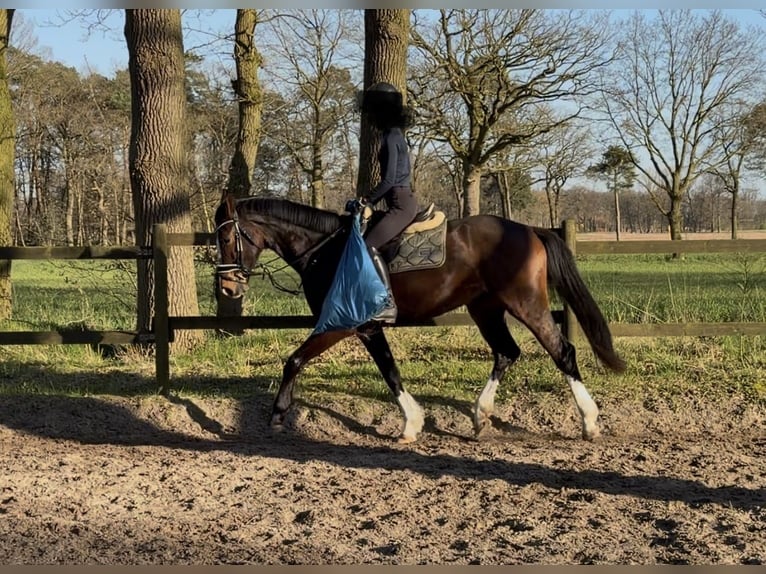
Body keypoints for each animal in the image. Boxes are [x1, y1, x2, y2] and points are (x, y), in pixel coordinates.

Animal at [213, 192, 626, 444]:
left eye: (227, 238)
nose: (228, 288)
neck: (326, 250)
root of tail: (529, 230)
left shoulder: (345, 323)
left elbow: (297, 360)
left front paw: (278, 415)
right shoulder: (366, 328)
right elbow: (389, 371)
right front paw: (412, 422)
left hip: (526, 304)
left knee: (563, 352)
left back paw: (589, 421)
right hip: (485, 308)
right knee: (507, 352)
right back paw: (481, 416)